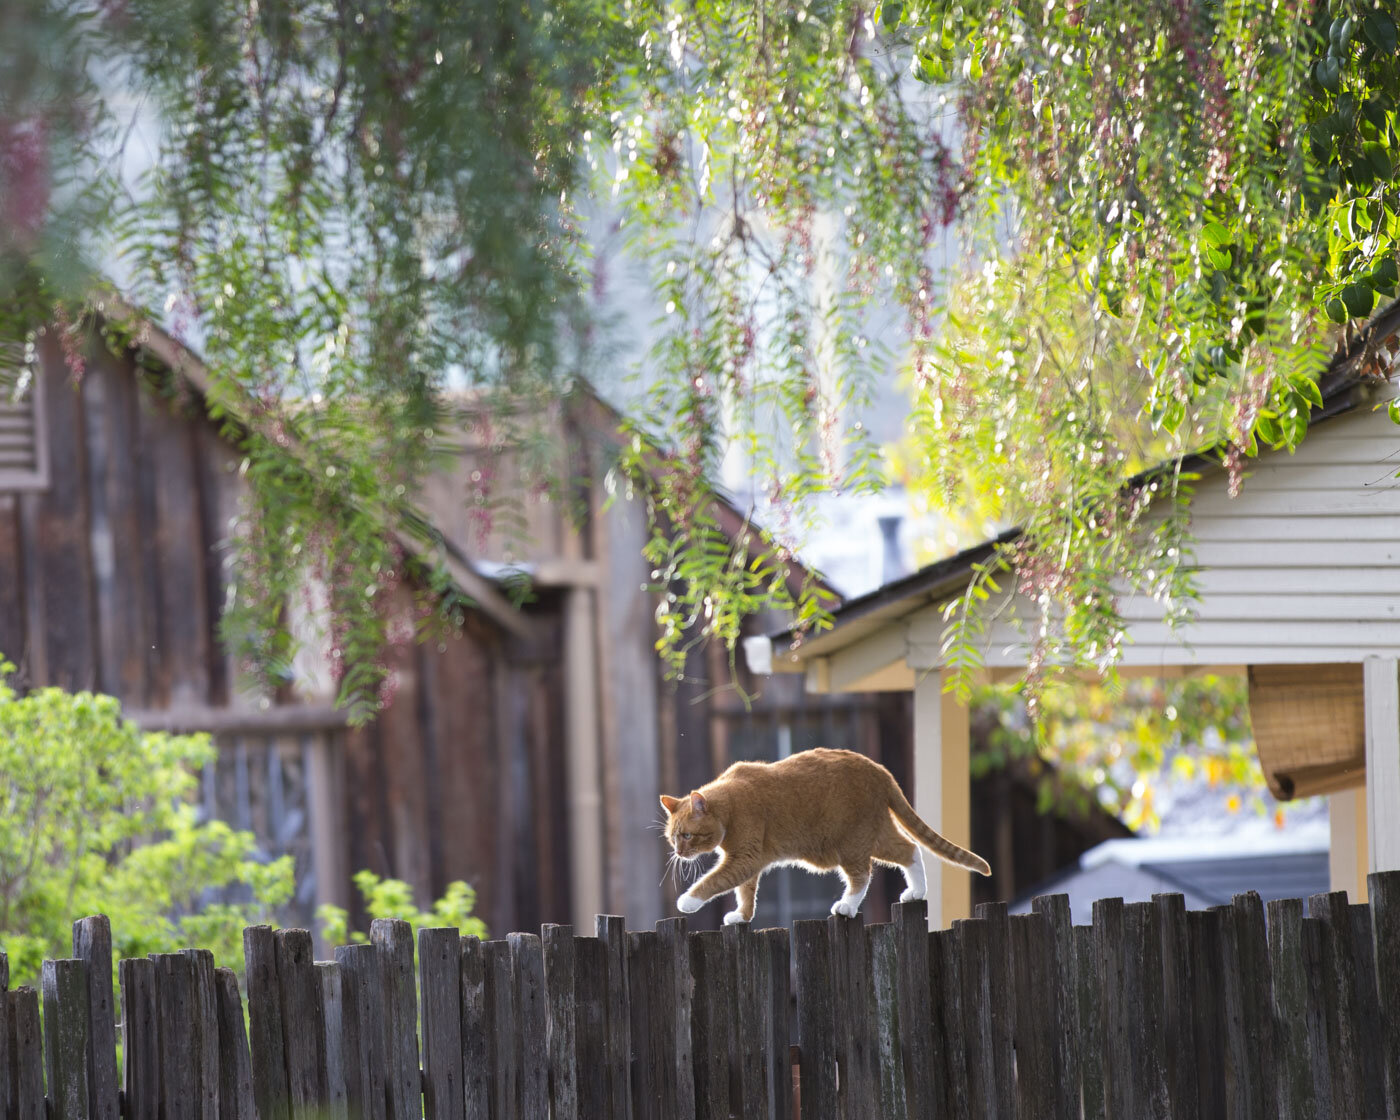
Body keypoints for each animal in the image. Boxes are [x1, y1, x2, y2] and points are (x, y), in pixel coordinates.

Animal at [660, 750, 991, 924]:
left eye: (687, 835)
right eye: (672, 839)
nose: (678, 853)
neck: (730, 805)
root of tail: (879, 769)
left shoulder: (745, 857)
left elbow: (714, 881)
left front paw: (687, 901)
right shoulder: (747, 861)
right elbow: (745, 890)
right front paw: (742, 915)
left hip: (850, 843)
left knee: (862, 875)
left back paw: (847, 905)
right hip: (877, 834)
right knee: (910, 849)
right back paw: (917, 891)